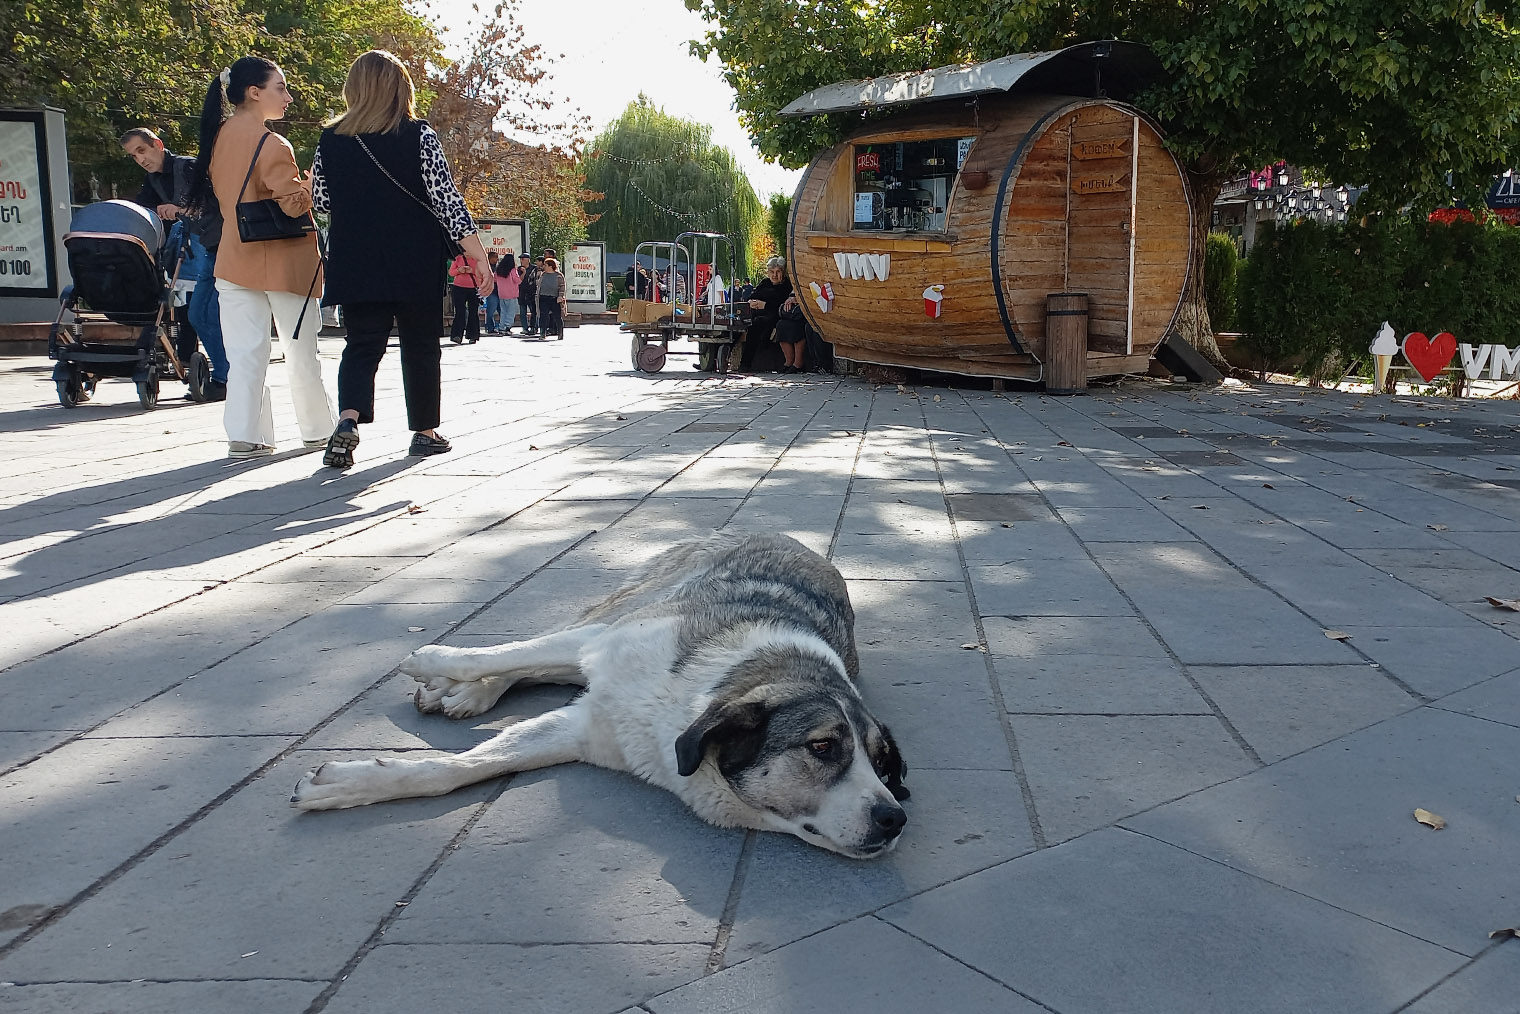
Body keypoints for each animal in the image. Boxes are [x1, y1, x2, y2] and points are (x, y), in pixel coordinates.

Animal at [290, 532, 905, 857]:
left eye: (881, 763)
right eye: (822, 747)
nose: (894, 819)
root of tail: (786, 536)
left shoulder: (585, 731)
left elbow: (468, 765)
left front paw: (350, 784)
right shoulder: (607, 644)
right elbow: (503, 658)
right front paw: (434, 662)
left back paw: (463, 696)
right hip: (622, 607)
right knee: (537, 654)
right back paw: (459, 689)